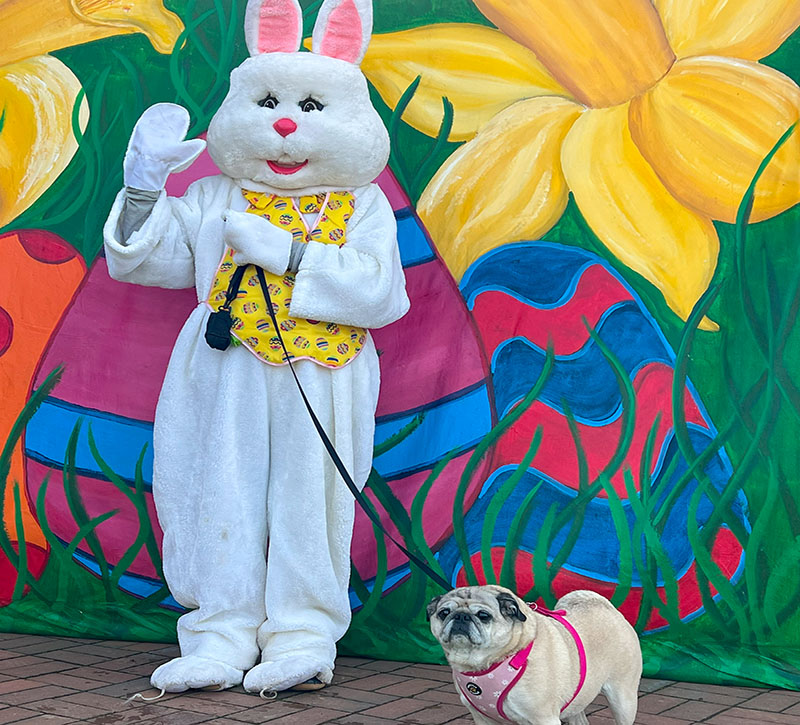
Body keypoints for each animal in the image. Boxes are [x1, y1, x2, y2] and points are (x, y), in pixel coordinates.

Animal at [424, 584, 644, 720]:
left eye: (483, 615)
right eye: (444, 613)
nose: (461, 616)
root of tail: (607, 607)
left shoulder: (543, 718)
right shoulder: (482, 718)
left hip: (623, 699)